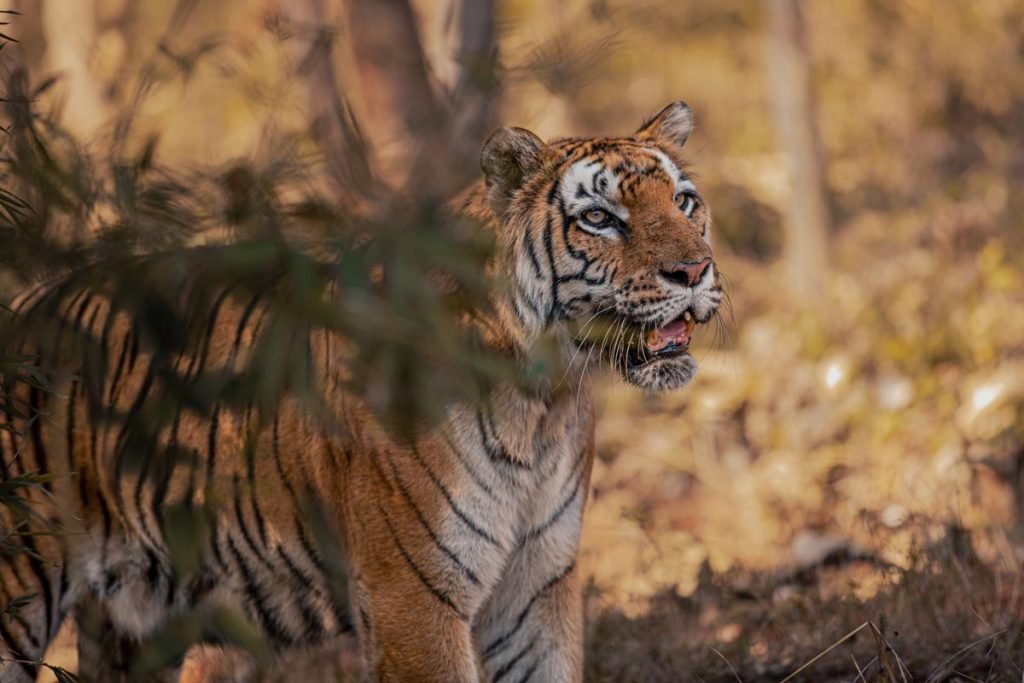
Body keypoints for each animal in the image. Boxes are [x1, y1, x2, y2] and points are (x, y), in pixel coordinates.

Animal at [0, 101, 722, 682]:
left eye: (685, 202)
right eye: (599, 217)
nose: (694, 270)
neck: (544, 400)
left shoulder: (536, 589)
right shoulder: (412, 599)